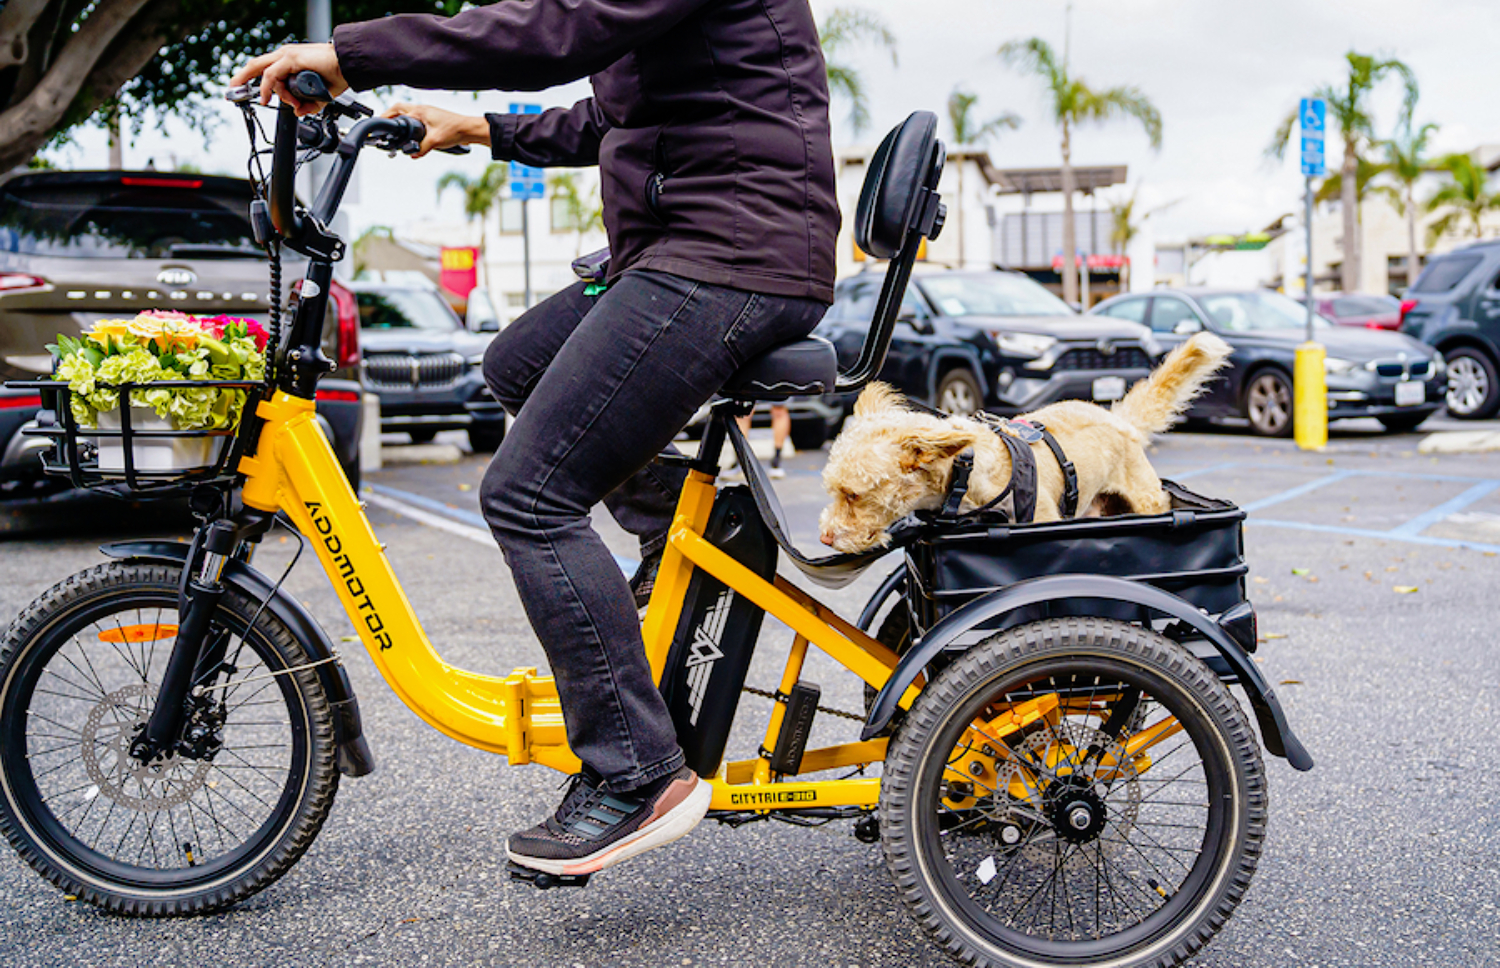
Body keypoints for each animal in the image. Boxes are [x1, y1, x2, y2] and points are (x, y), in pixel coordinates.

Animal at [817, 332, 1233, 553]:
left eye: (853, 494)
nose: (824, 536)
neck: (966, 476)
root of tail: (1118, 418)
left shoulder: (1043, 522)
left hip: (1146, 501)